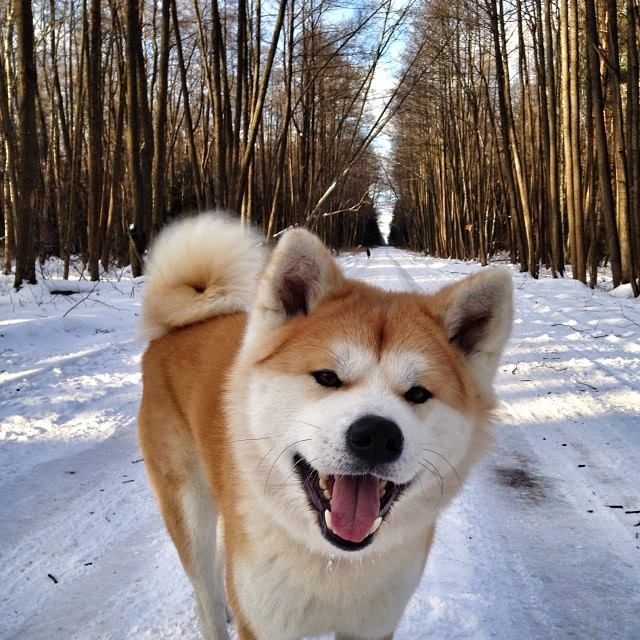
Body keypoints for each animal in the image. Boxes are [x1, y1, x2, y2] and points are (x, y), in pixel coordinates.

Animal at [138, 214, 512, 640]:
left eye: (418, 394)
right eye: (327, 377)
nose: (376, 437)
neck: (333, 557)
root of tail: (178, 328)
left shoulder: (372, 626)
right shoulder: (266, 625)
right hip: (188, 510)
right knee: (206, 593)